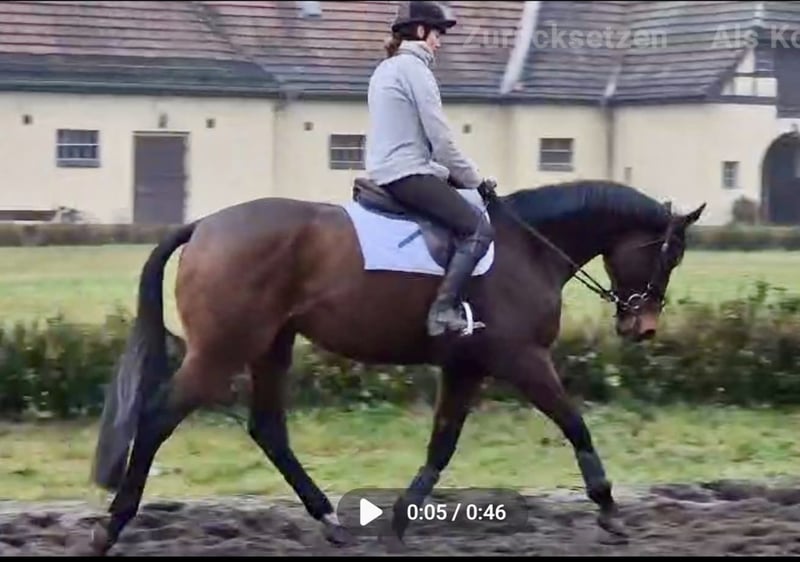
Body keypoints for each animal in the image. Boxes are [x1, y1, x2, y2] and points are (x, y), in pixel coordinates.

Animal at [86, 178, 704, 555]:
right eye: (669, 255)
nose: (643, 328)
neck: (529, 247)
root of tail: (205, 226)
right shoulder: (523, 359)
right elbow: (574, 423)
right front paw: (608, 508)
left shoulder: (467, 369)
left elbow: (441, 447)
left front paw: (401, 521)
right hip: (222, 350)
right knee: (157, 420)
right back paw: (112, 526)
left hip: (271, 346)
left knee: (268, 428)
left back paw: (329, 520)